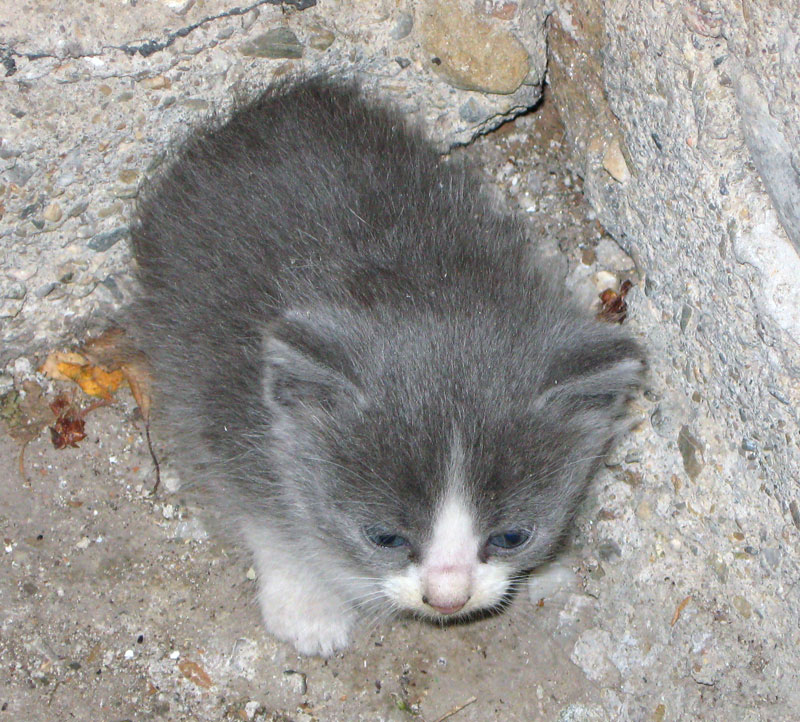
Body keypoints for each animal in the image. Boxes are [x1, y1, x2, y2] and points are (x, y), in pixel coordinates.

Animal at [130, 76, 644, 656]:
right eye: (386, 538)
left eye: (511, 536)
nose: (447, 599)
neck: (426, 290)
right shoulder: (225, 396)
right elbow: (263, 512)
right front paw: (306, 603)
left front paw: (542, 573)